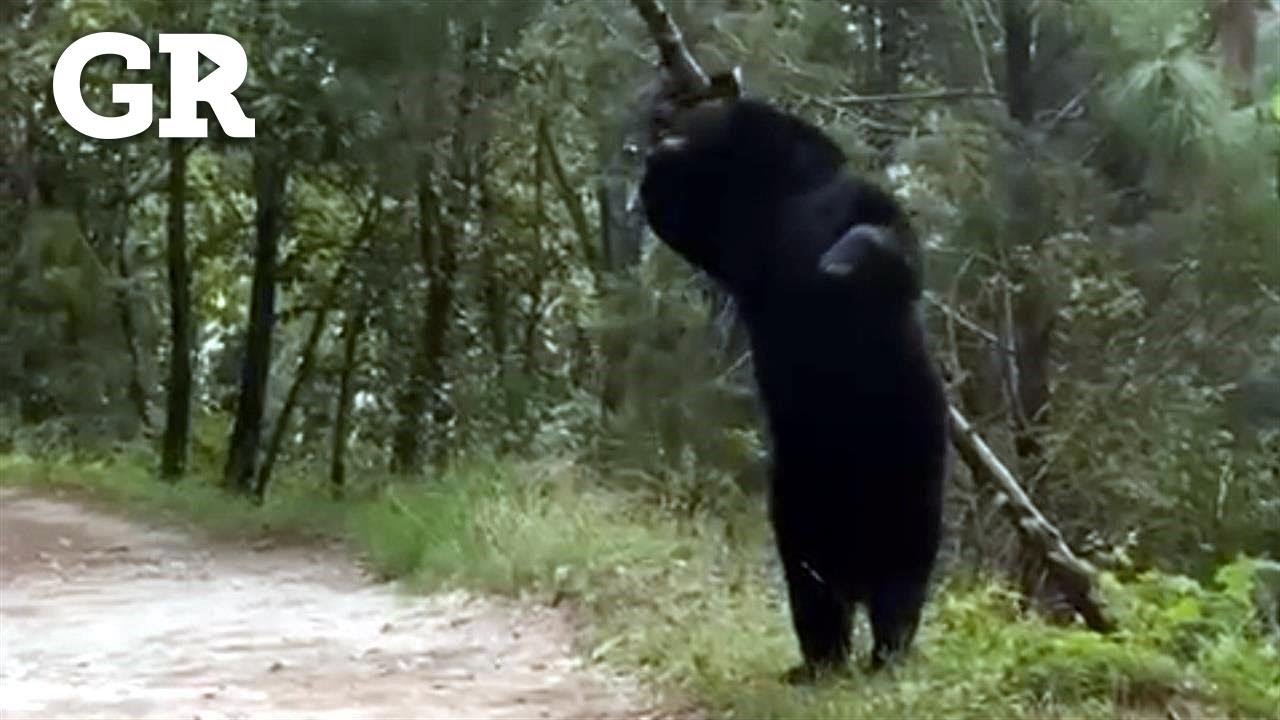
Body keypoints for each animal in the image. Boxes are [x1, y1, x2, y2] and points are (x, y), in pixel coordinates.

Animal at [639, 73, 951, 680]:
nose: (665, 129)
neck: (787, 196)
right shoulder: (743, 243)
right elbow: (681, 218)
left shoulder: (840, 209)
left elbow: (892, 239)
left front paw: (840, 259)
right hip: (800, 497)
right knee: (812, 585)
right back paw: (820, 661)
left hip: (912, 461)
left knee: (903, 575)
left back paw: (886, 653)